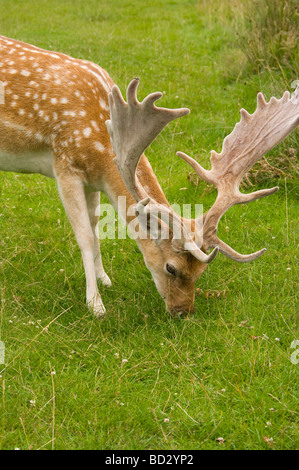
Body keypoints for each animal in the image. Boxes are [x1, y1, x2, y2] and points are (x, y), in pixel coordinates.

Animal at [0, 35, 299, 318]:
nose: (182, 312)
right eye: (171, 267)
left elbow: (96, 229)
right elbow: (84, 235)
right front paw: (95, 305)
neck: (102, 143)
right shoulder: (65, 165)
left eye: (200, 273)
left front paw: (105, 278)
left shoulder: (92, 181)